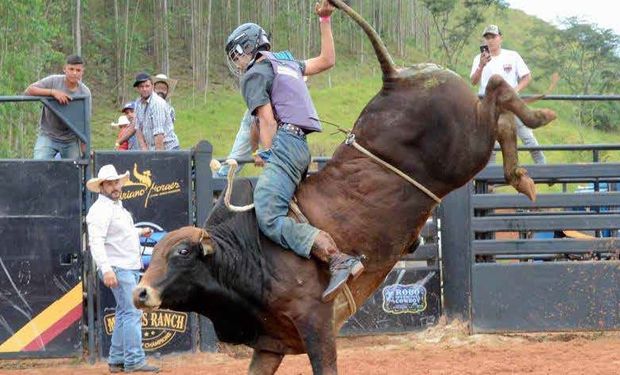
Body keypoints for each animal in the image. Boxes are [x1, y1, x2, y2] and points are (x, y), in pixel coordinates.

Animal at [132, 1, 556, 374]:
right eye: (154, 251)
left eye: (182, 252)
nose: (140, 293)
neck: (246, 252)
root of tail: (394, 79)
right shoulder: (271, 343)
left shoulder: (316, 325)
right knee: (498, 110)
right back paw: (525, 169)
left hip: (465, 147)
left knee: (498, 90)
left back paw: (535, 130)